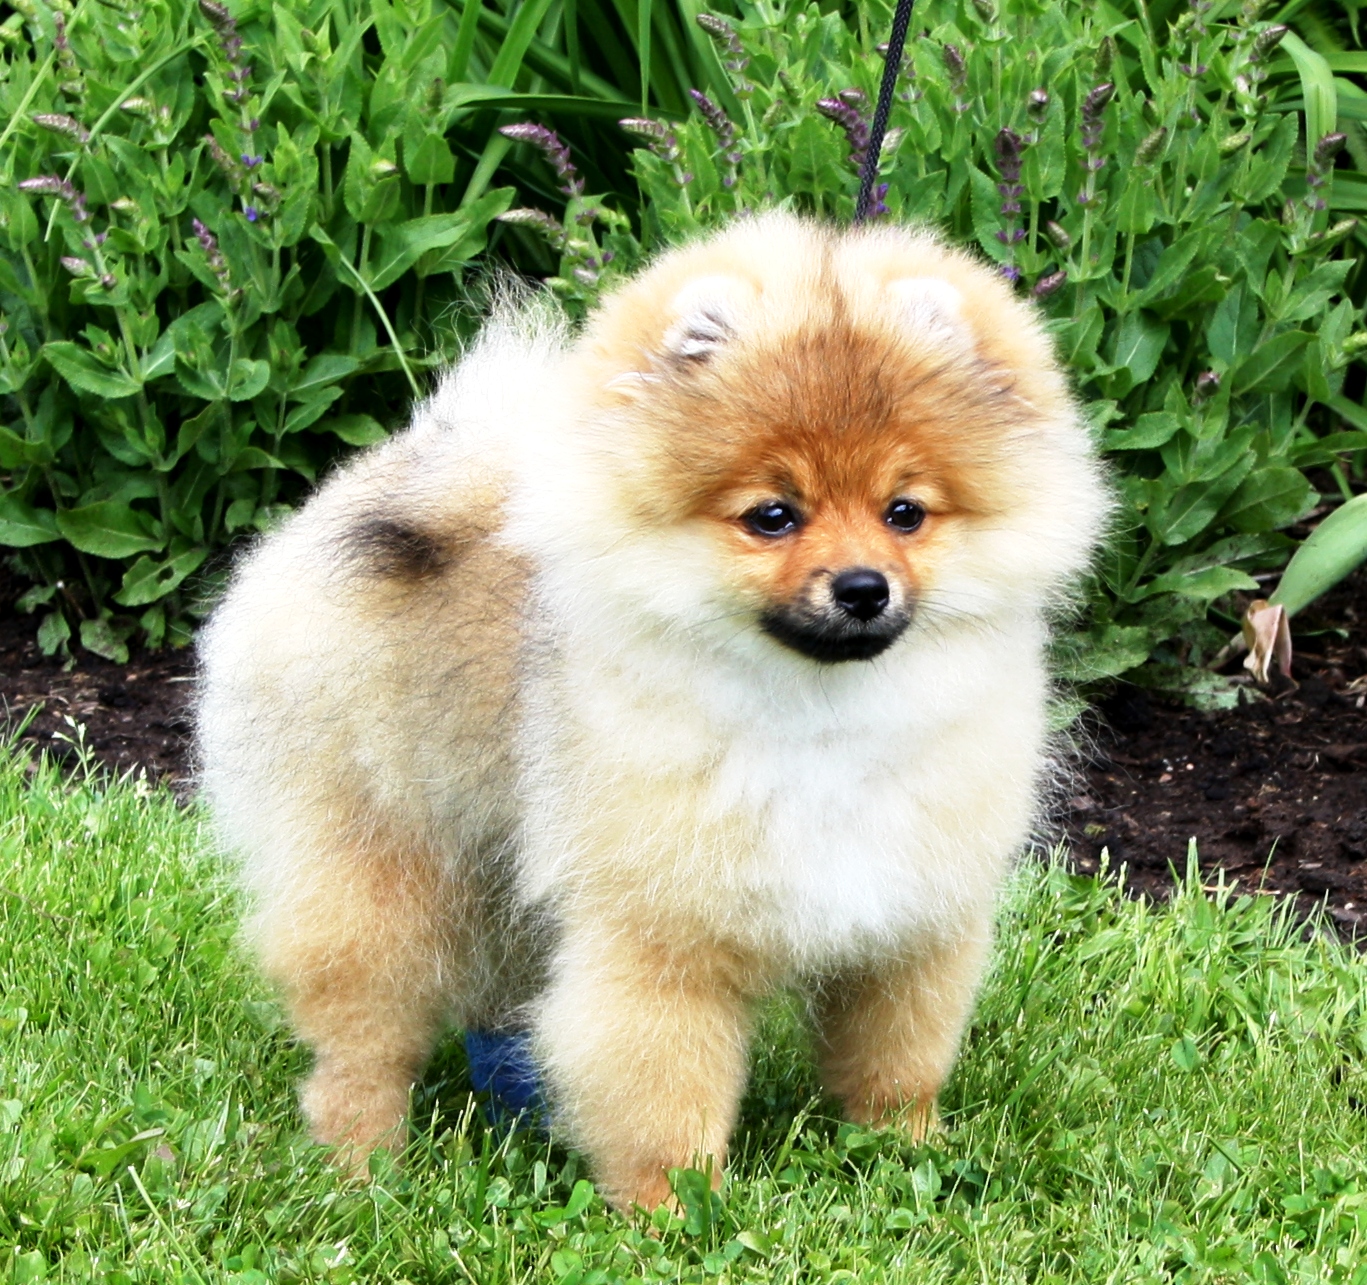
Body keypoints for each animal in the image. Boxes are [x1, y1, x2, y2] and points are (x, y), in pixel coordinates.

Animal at [197, 212, 1107, 1213]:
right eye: (773, 516)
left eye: (905, 511)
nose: (863, 587)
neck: (817, 713)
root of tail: (401, 478)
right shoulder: (663, 937)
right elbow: (662, 1089)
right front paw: (669, 1209)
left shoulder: (909, 922)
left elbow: (894, 1059)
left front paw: (904, 1152)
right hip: (382, 860)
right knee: (362, 1033)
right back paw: (363, 1163)